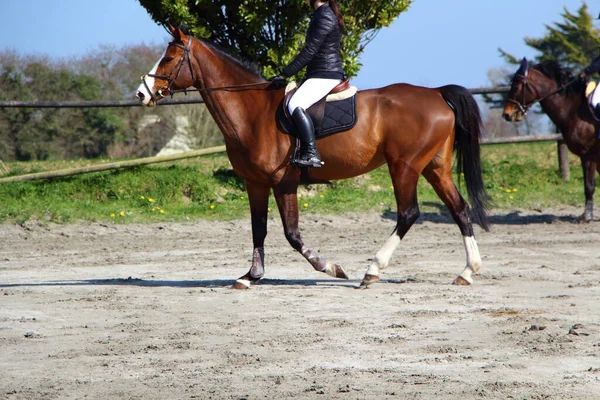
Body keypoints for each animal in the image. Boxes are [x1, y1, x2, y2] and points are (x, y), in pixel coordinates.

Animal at [135, 26, 488, 290]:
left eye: (169, 57)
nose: (142, 93)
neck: (252, 112)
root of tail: (436, 93)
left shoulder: (283, 182)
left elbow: (292, 234)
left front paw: (331, 267)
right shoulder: (255, 183)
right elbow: (258, 229)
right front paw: (250, 277)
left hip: (405, 166)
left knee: (408, 213)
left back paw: (372, 270)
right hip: (434, 167)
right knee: (458, 208)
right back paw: (467, 271)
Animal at [502, 58, 600, 222]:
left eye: (516, 86)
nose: (506, 114)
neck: (576, 109)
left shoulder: (589, 155)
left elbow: (589, 186)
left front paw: (586, 217)